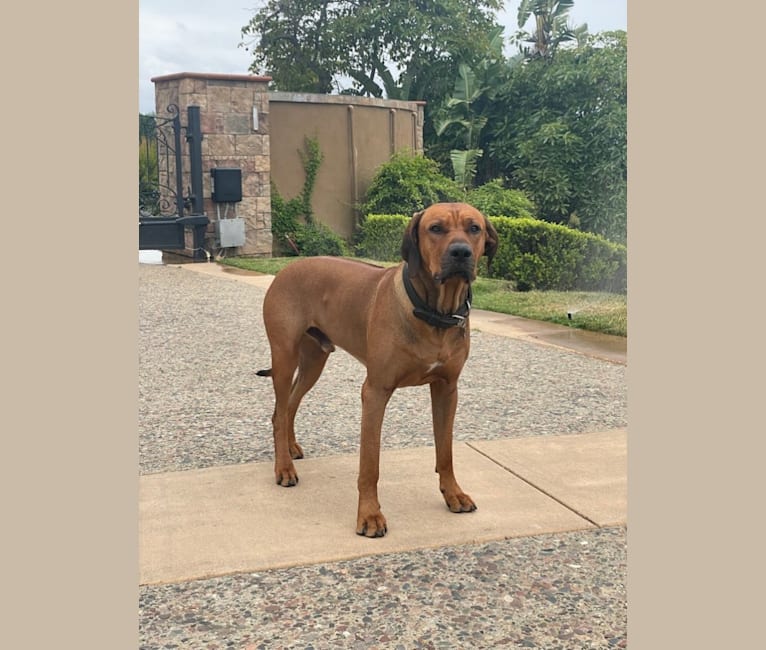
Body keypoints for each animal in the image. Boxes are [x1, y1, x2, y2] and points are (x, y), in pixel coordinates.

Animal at [258, 200, 498, 536]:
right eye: (436, 228)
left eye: (474, 228)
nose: (461, 253)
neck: (434, 314)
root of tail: (287, 267)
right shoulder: (375, 391)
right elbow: (370, 464)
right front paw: (369, 516)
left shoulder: (447, 389)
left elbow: (445, 451)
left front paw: (453, 494)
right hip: (284, 356)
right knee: (279, 412)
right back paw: (283, 467)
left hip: (315, 359)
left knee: (290, 404)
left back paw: (290, 449)